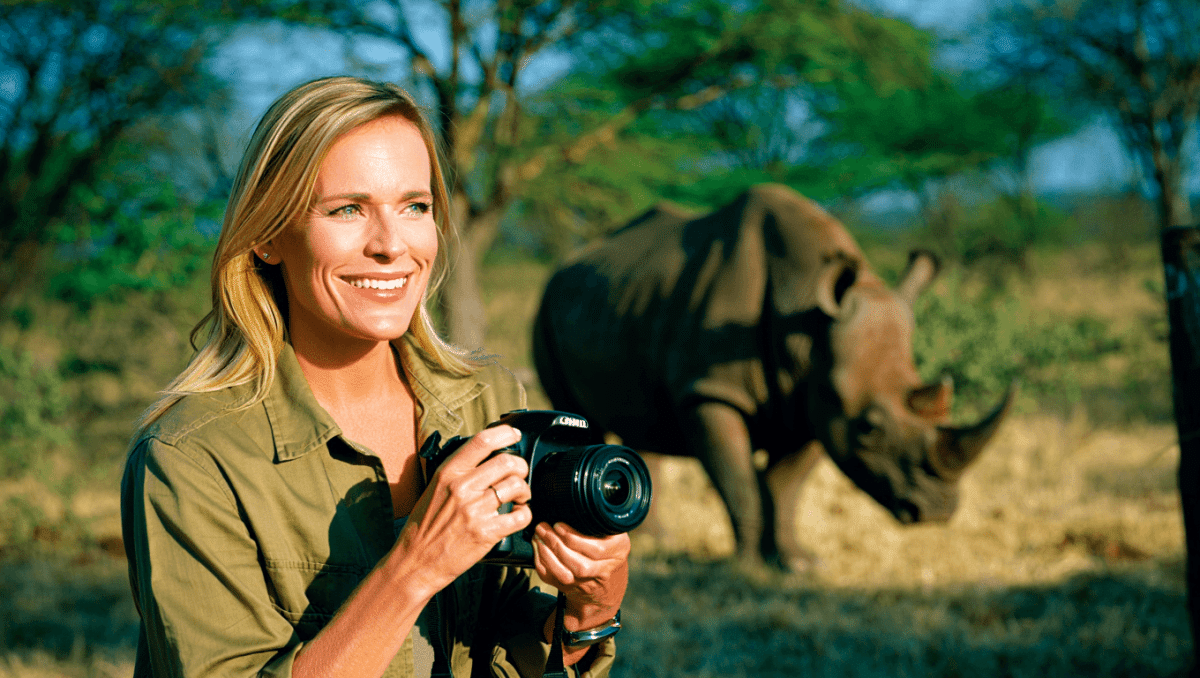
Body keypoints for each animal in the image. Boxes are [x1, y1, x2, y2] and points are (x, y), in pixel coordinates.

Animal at [531, 184, 1014, 571]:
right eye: (870, 429)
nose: (936, 511)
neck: (806, 320)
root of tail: (568, 262)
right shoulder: (713, 393)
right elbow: (739, 480)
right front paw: (747, 568)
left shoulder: (814, 401)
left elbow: (785, 487)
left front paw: (798, 565)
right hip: (545, 307)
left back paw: (650, 541)